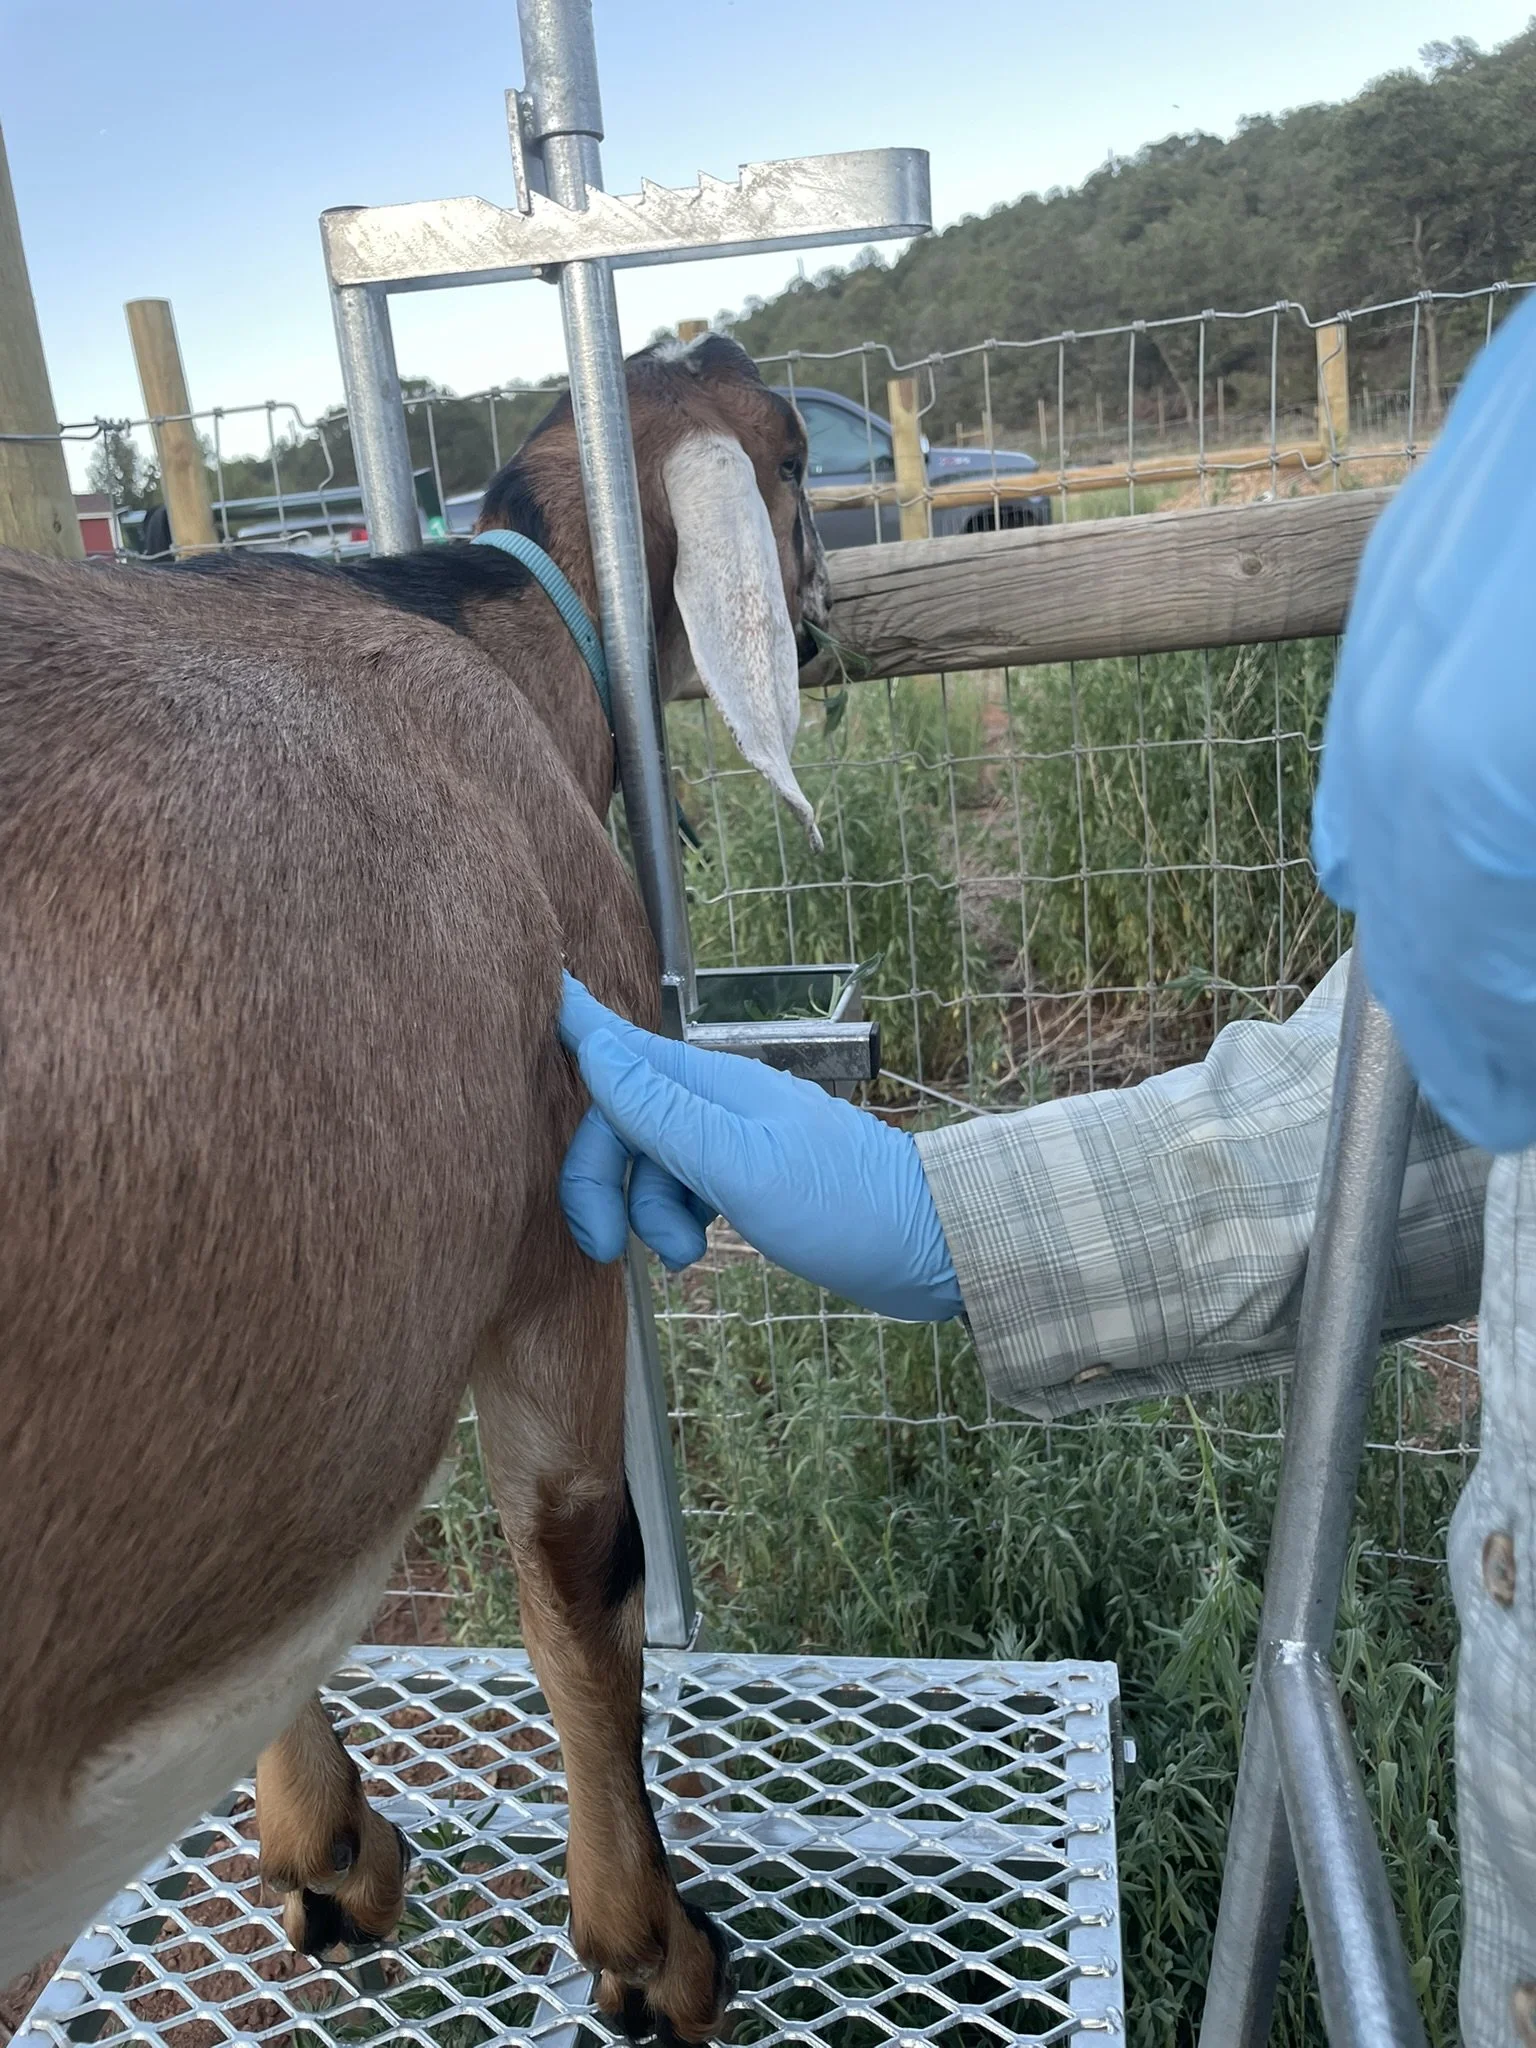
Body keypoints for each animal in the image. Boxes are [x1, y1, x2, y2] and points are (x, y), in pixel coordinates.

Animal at [0, 332, 828, 2043]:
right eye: (792, 451)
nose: (827, 624)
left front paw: (326, 1852)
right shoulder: (557, 1230)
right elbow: (581, 1576)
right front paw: (650, 1951)